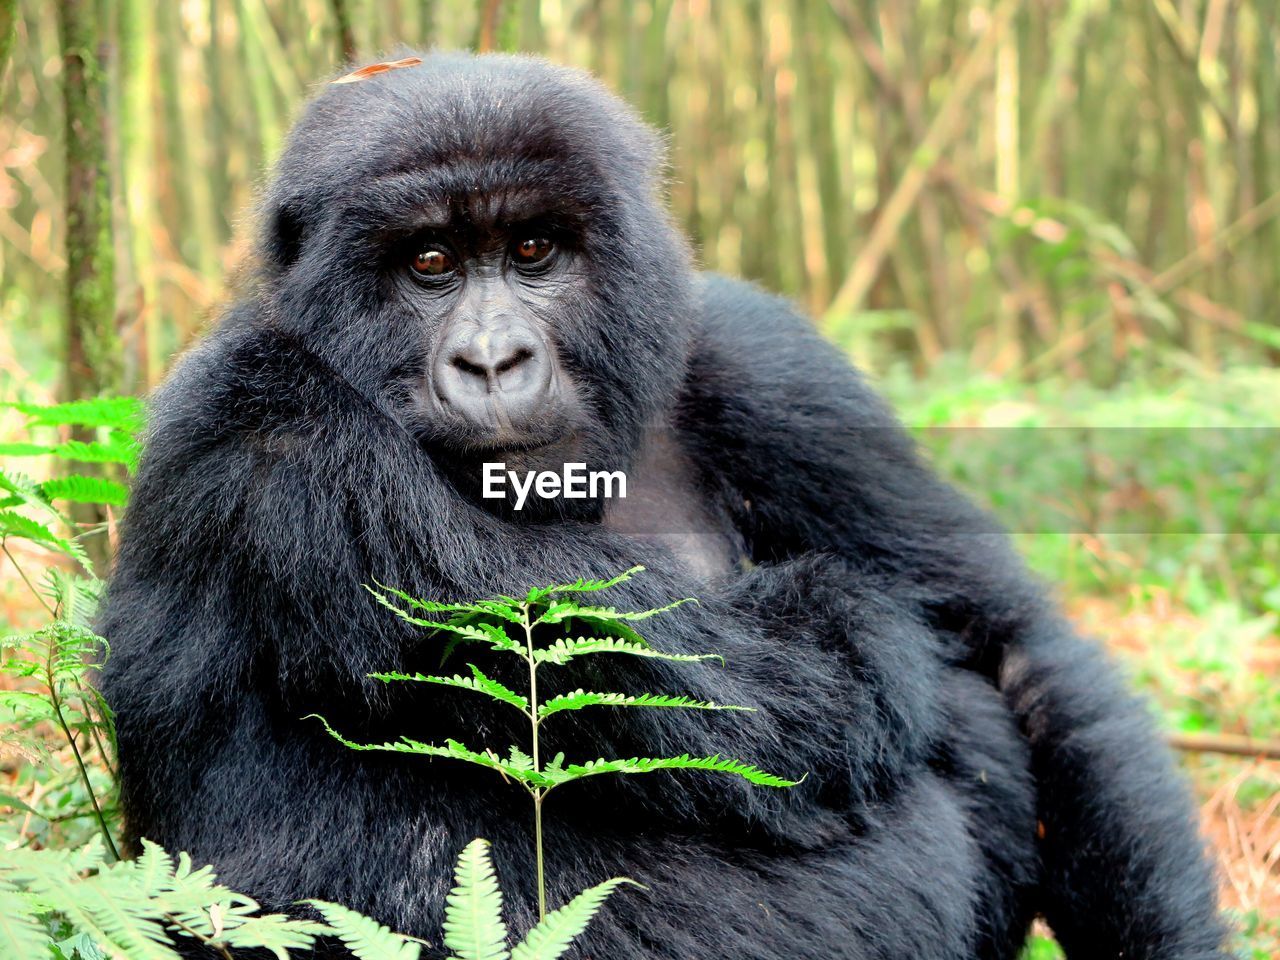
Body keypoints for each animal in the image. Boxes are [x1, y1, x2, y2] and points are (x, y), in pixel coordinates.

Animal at [102, 54, 1228, 960]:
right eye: (427, 264)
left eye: (533, 251)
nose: (492, 360)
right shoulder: (267, 428)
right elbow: (814, 685)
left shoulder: (771, 366)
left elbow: (1011, 646)